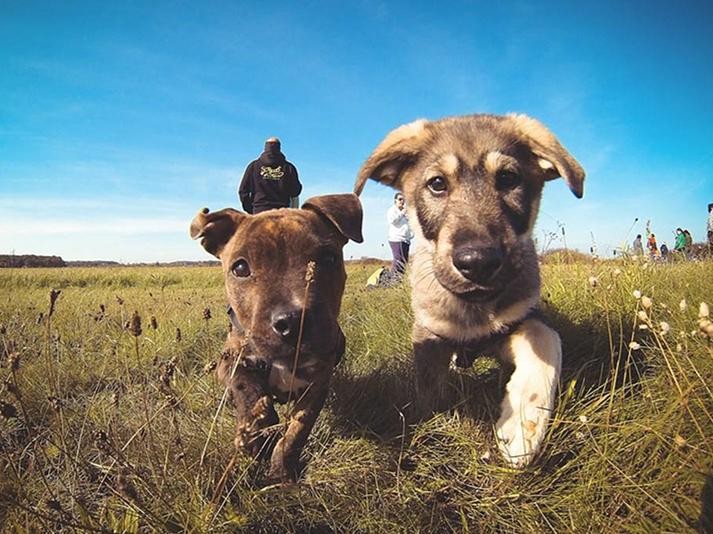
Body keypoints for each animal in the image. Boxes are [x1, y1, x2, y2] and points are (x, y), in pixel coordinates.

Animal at [189, 195, 362, 484]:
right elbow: (247, 390)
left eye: (328, 258)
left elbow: (297, 430)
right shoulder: (231, 362)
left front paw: (281, 470)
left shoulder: (317, 384)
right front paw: (257, 431)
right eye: (240, 267)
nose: (293, 321)